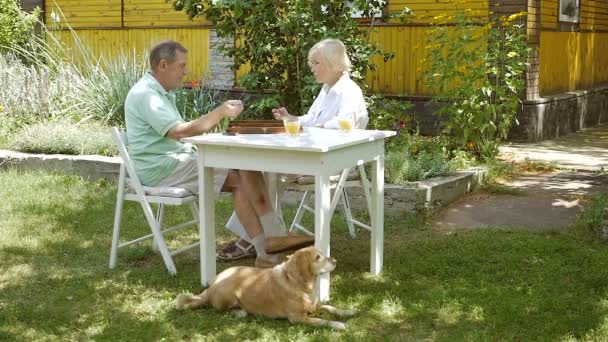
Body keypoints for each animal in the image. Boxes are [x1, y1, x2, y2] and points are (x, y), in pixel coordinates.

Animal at [176, 247, 354, 330]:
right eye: (317, 257)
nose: (335, 261)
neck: (299, 283)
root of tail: (210, 285)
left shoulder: (314, 306)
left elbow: (330, 307)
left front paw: (347, 312)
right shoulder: (297, 318)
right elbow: (322, 320)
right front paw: (338, 324)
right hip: (228, 292)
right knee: (223, 310)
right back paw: (239, 311)